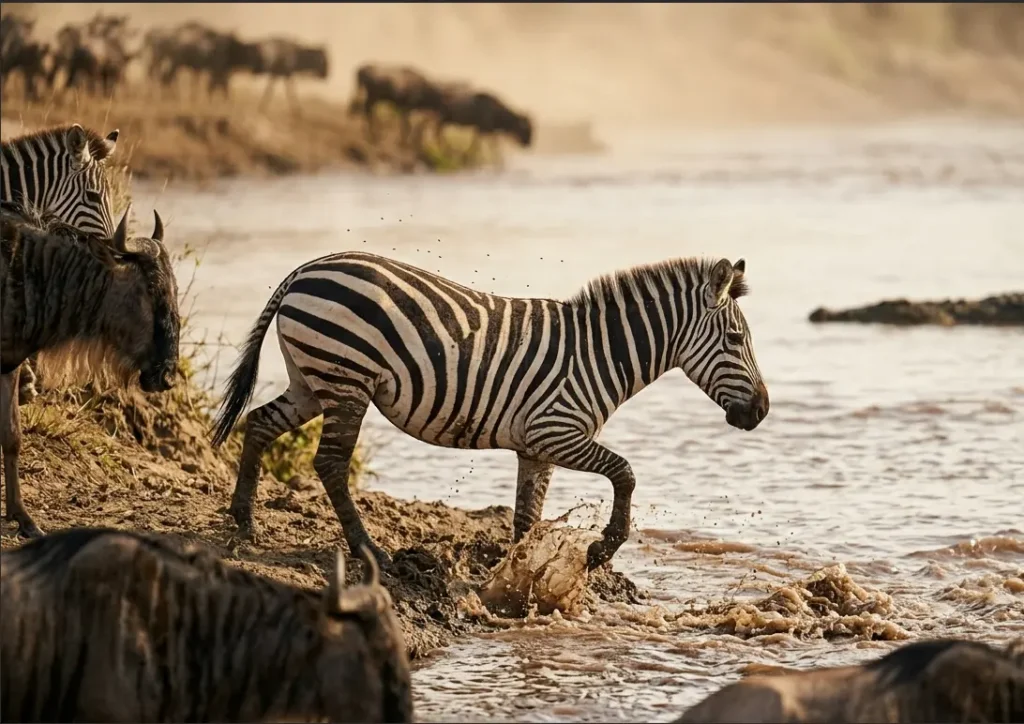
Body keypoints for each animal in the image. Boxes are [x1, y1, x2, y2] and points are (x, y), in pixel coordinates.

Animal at [211, 252, 769, 571]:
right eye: (735, 339)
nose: (762, 412)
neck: (598, 352)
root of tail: (307, 269)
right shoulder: (556, 431)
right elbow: (626, 473)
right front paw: (600, 550)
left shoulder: (535, 448)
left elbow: (526, 518)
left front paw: (521, 582)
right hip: (346, 378)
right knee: (328, 463)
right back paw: (369, 551)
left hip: (312, 380)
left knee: (259, 423)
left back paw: (243, 520)